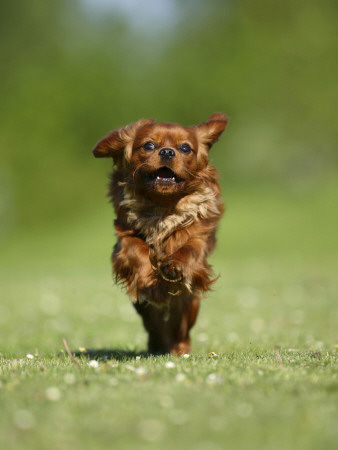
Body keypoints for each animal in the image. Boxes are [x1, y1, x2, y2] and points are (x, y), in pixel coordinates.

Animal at [93, 112, 228, 356]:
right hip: (143, 308)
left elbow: (189, 248)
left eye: (185, 148)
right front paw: (150, 278)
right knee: (156, 326)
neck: (163, 207)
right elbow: (137, 249)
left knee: (179, 329)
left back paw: (179, 349)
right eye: (149, 145)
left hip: (189, 303)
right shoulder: (124, 239)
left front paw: (174, 266)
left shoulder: (200, 240)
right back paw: (158, 345)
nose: (166, 151)